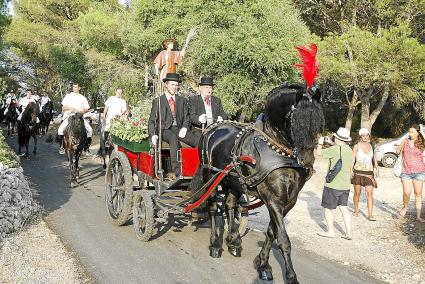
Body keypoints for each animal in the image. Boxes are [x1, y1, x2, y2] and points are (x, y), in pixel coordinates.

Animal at [189, 81, 324, 282]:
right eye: (295, 121)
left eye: (318, 121)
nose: (307, 160)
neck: (278, 150)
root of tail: (211, 128)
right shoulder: (273, 199)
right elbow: (283, 238)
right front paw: (291, 276)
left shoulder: (289, 201)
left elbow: (272, 232)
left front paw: (262, 264)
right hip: (209, 175)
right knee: (213, 208)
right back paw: (215, 244)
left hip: (234, 181)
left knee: (230, 205)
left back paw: (233, 241)